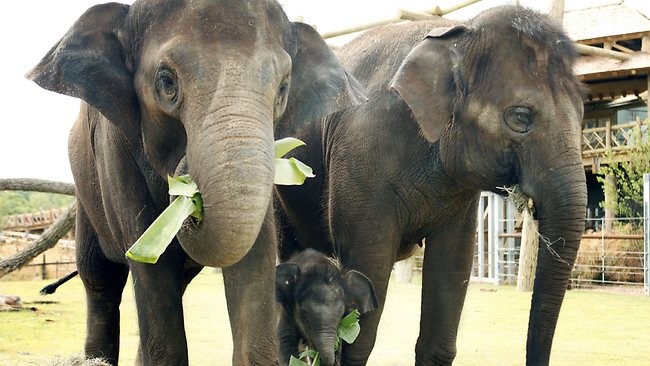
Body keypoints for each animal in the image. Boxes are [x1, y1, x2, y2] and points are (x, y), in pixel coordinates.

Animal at [26, 1, 364, 364]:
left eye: (283, 88)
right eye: (166, 82)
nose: (189, 192)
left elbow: (253, 261)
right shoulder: (113, 150)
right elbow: (152, 268)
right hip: (85, 199)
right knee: (100, 279)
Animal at [276, 6, 584, 366]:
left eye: (582, 113)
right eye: (521, 117)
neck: (457, 32)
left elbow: (452, 267)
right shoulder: (360, 164)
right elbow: (363, 311)